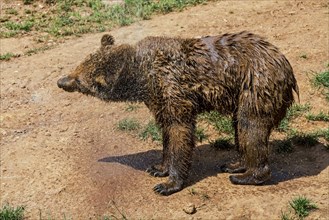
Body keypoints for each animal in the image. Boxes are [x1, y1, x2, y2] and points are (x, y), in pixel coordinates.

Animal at [57, 31, 298, 196]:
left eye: (80, 80)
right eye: (79, 65)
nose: (61, 81)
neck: (143, 76)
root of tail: (287, 67)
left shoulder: (173, 88)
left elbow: (179, 132)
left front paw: (168, 184)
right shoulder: (158, 99)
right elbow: (166, 132)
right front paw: (158, 167)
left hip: (256, 85)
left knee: (251, 127)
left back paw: (246, 176)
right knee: (239, 127)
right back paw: (235, 164)